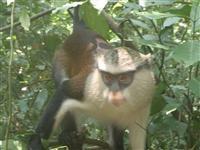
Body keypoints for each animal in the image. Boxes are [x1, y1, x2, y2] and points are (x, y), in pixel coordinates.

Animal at [27, 6, 155, 149]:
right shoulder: (89, 84)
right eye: (107, 77)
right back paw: (67, 134)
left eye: (123, 78)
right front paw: (35, 141)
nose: (114, 92)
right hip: (61, 58)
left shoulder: (143, 104)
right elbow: (64, 90)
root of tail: (81, 30)